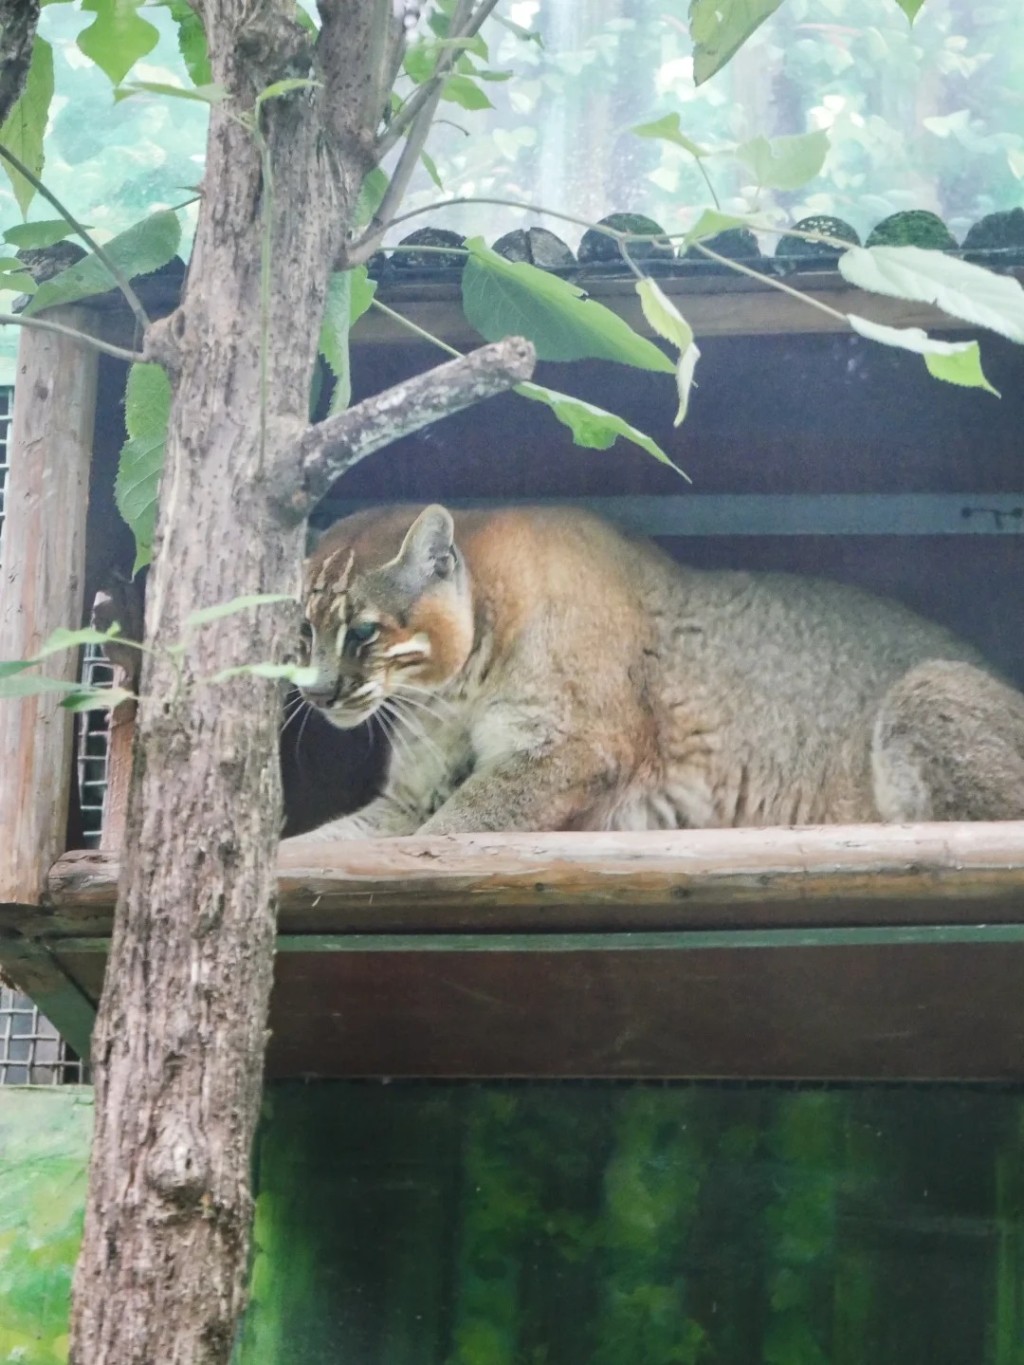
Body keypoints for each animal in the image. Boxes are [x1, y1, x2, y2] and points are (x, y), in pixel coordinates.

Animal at [290, 507, 1024, 835]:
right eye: (302, 632)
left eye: (363, 631)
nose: (320, 692)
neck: (453, 688)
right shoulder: (405, 795)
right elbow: (330, 843)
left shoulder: (578, 749)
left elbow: (455, 826)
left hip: (927, 687)